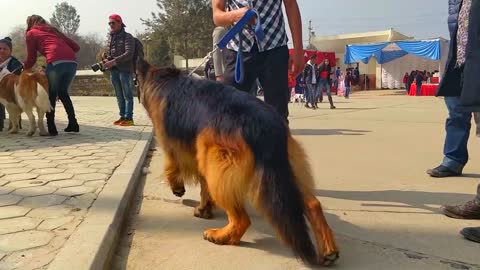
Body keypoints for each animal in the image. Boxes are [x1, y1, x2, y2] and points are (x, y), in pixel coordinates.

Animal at [134, 59, 338, 266]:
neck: (163, 80)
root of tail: (265, 125)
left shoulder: (174, 145)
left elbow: (171, 165)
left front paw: (178, 188)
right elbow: (203, 187)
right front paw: (204, 209)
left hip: (218, 167)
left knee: (242, 219)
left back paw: (221, 236)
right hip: (284, 171)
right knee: (313, 204)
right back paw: (329, 249)